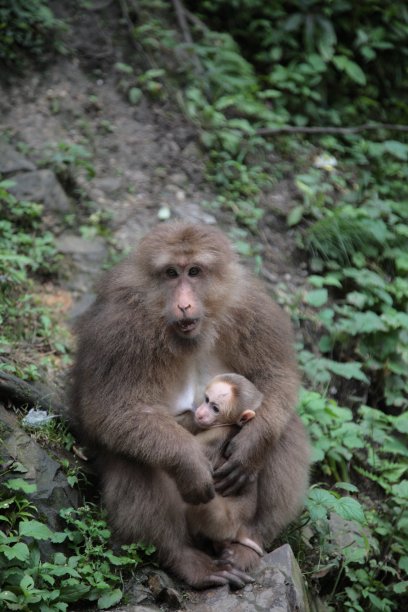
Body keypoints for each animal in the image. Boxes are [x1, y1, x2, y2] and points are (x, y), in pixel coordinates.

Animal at [188, 372, 264, 560]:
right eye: (206, 399)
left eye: (215, 408)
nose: (200, 413)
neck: (229, 425)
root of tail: (239, 529)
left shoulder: (215, 434)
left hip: (223, 522)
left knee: (203, 508)